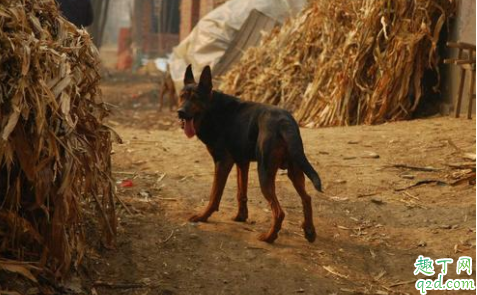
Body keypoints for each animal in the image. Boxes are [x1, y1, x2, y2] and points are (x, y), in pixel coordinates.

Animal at [178, 66, 324, 244]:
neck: (211, 110)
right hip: (295, 171)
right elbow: (241, 192)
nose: (180, 112)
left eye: (195, 98)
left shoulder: (222, 162)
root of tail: (285, 122)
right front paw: (241, 216)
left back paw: (269, 237)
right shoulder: (242, 162)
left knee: (279, 212)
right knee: (307, 198)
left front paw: (202, 216)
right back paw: (309, 231)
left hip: (265, 173)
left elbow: (214, 195)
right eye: (182, 97)